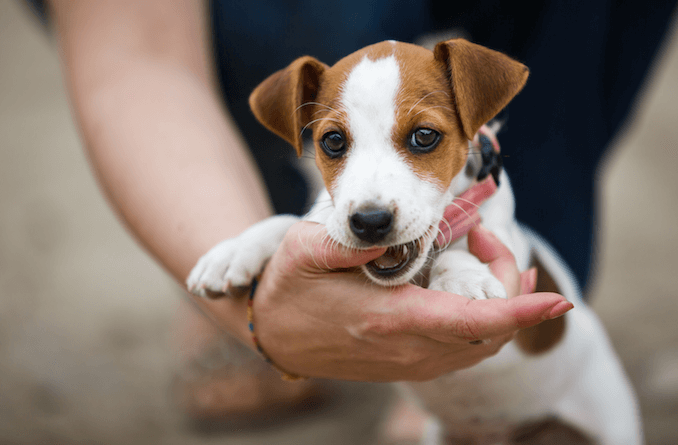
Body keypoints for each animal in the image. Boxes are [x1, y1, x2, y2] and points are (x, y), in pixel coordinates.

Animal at [189, 39, 644, 444]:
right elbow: (290, 223)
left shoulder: (508, 245)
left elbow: (463, 246)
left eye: (424, 136)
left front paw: (462, 280)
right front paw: (233, 251)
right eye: (333, 141)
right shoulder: (329, 219)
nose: (369, 222)